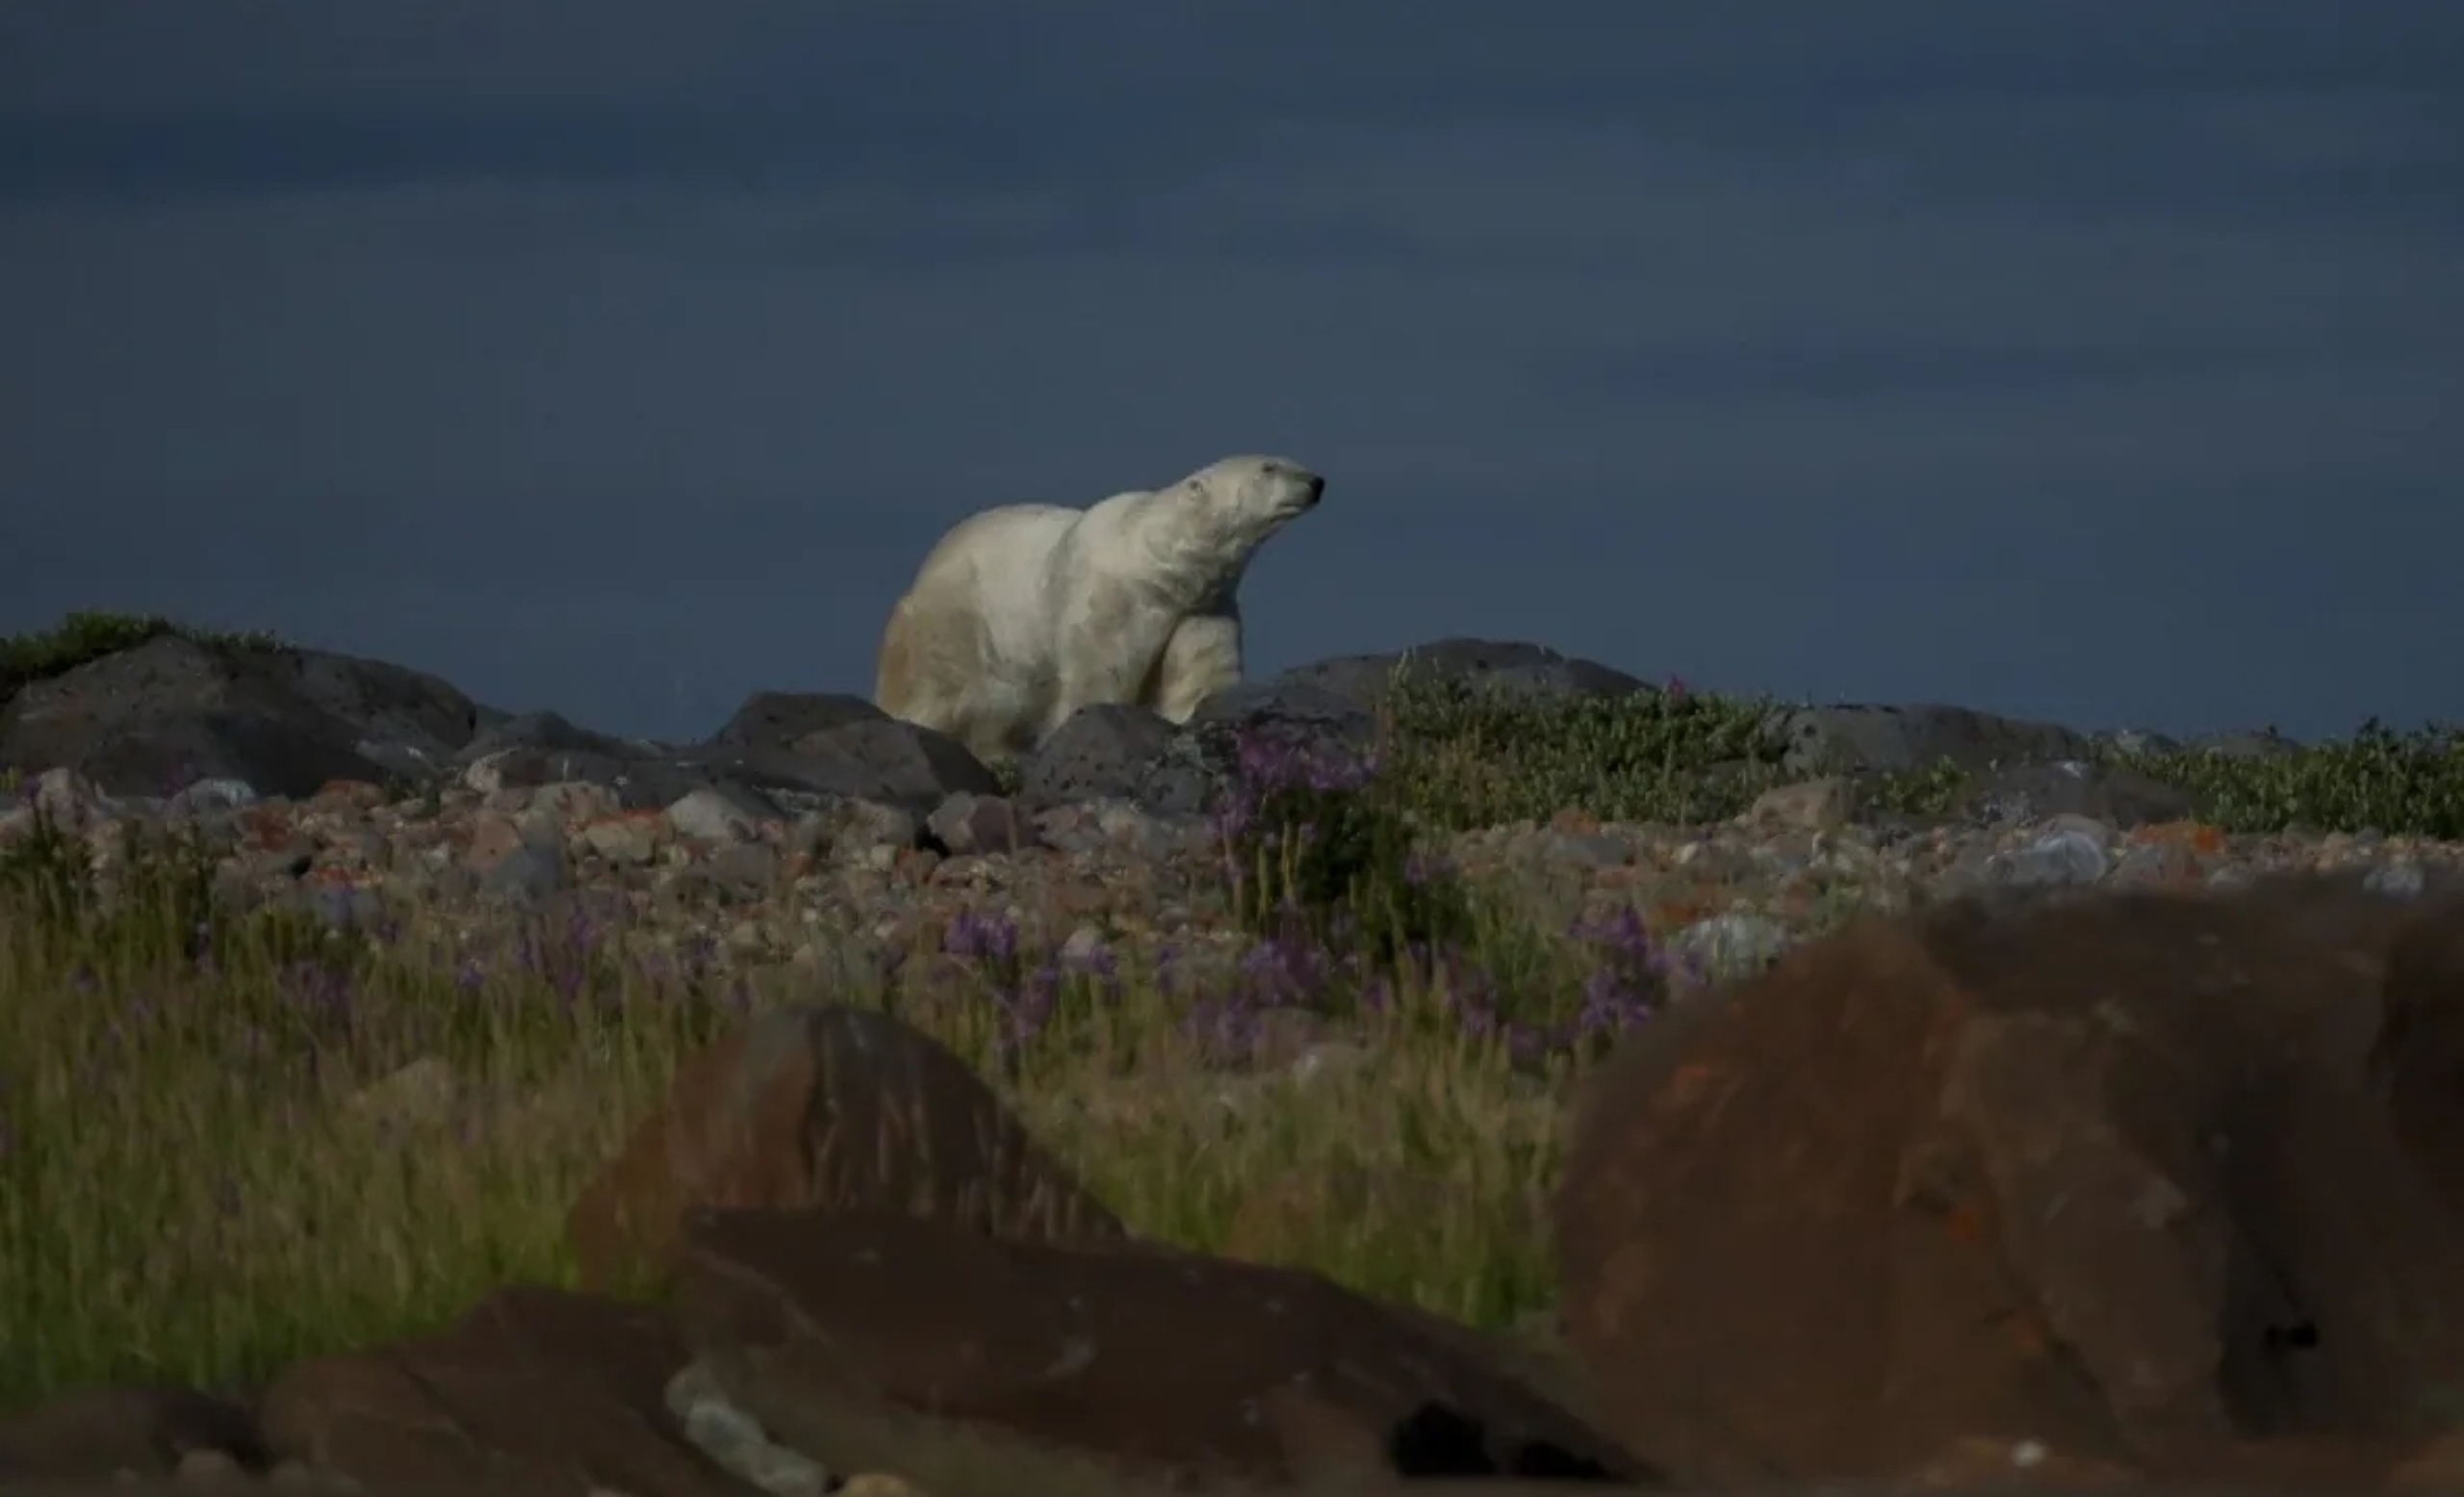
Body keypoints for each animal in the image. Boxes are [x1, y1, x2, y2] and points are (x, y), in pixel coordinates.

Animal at [872, 453, 1330, 760]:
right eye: (1269, 467)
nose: (1317, 482)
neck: (1159, 567)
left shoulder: (1202, 607)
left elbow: (1200, 675)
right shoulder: (1111, 601)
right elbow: (1098, 674)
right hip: (954, 623)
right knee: (957, 693)